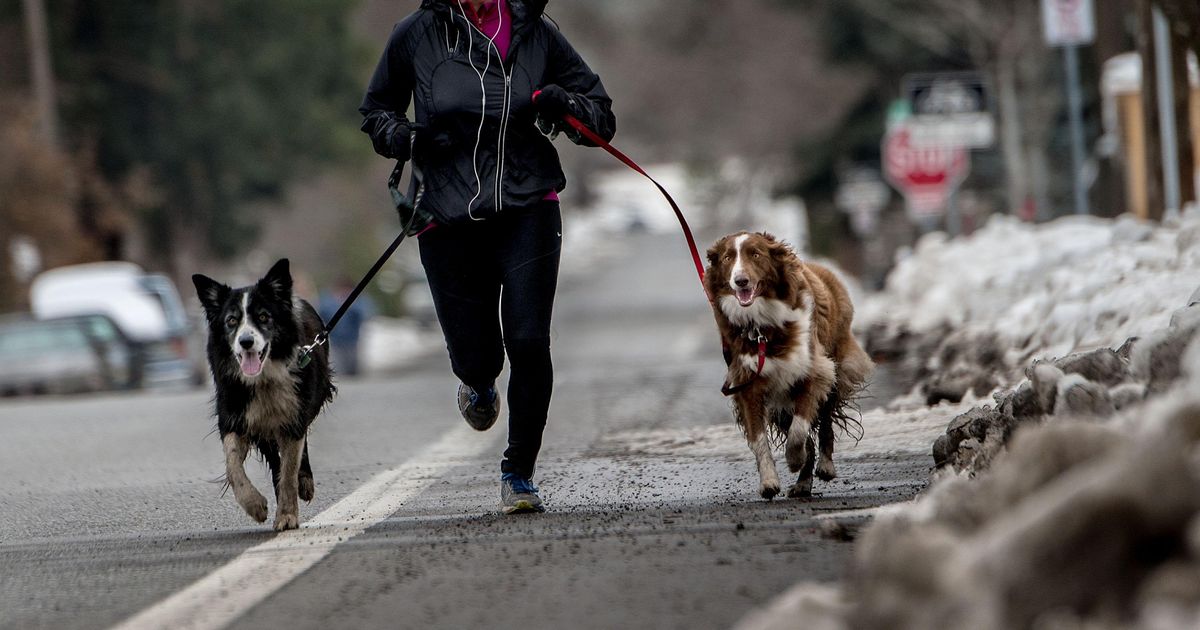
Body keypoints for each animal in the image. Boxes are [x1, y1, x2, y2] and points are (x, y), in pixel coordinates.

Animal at [700, 231, 873, 501]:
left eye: (756, 254)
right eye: (728, 258)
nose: (740, 281)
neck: (761, 329)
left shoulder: (814, 371)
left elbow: (799, 429)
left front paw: (794, 458)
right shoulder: (748, 385)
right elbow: (760, 439)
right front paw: (769, 482)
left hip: (835, 371)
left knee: (825, 422)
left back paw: (825, 466)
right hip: (780, 403)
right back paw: (803, 484)